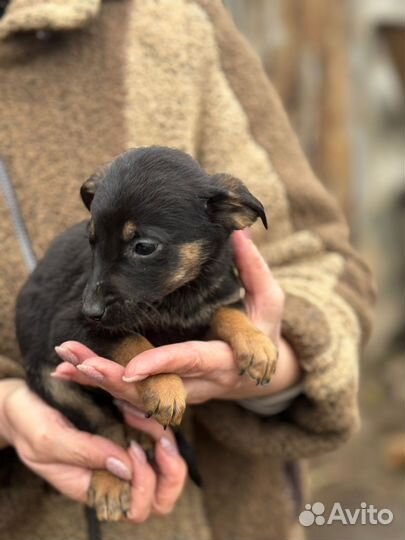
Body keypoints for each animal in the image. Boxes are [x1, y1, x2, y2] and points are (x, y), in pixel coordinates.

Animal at [14, 146, 276, 520]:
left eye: (144, 247)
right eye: (92, 242)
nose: (91, 309)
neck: (175, 297)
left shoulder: (221, 292)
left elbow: (230, 313)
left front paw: (257, 345)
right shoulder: (68, 325)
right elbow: (136, 341)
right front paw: (164, 385)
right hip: (52, 380)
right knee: (105, 428)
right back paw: (111, 478)